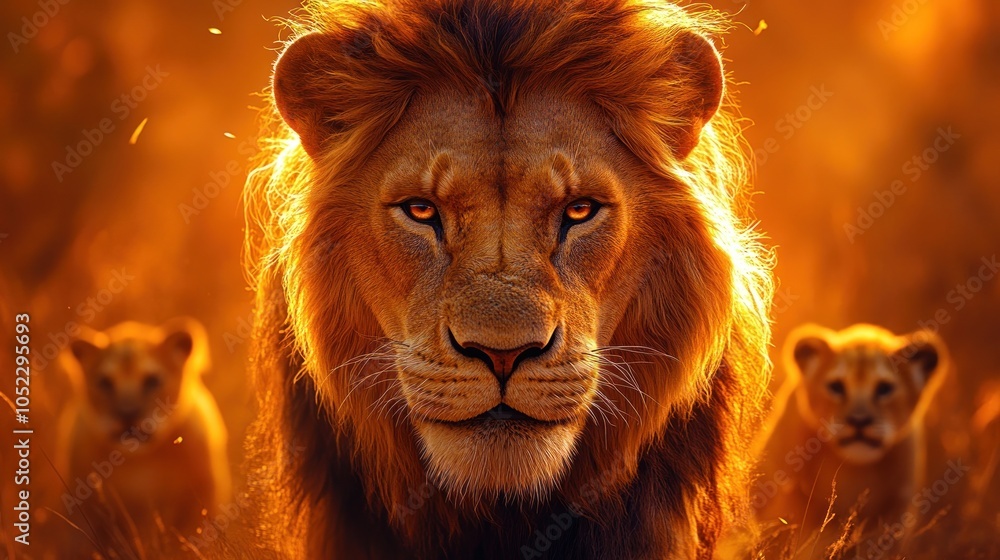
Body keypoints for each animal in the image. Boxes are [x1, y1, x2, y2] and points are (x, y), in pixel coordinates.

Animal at [56, 318, 231, 553]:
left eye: (151, 381)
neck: (141, 463)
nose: (127, 413)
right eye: (105, 383)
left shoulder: (200, 496)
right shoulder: (87, 507)